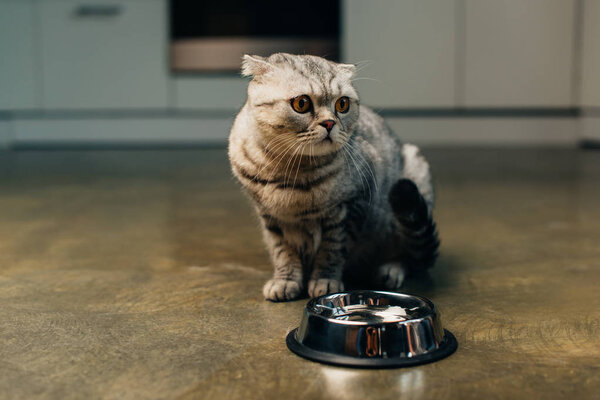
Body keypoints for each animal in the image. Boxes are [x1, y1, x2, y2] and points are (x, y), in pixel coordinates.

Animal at [227, 54, 438, 304]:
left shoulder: (350, 208)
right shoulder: (270, 217)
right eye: (301, 103)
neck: (289, 171)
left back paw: (390, 269)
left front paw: (324, 281)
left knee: (411, 255)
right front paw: (285, 280)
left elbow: (332, 249)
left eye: (342, 104)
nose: (329, 123)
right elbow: (282, 251)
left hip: (411, 187)